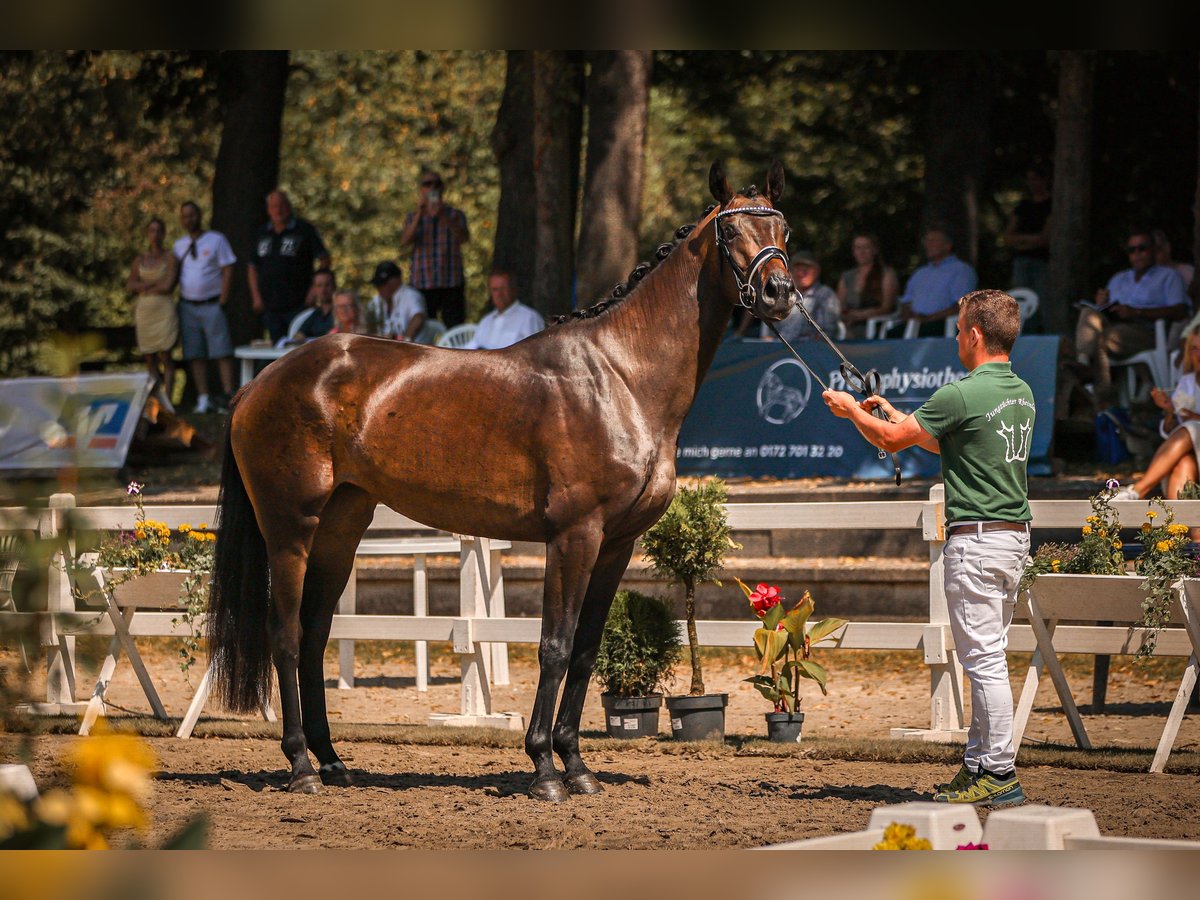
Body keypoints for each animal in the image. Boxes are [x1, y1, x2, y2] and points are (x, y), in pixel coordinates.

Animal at [208, 158, 796, 801]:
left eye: (783, 230)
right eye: (731, 232)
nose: (780, 293)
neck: (620, 375)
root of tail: (258, 382)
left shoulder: (616, 543)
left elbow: (586, 650)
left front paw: (577, 766)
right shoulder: (574, 535)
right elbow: (555, 647)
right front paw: (544, 768)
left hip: (340, 531)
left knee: (314, 637)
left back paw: (333, 762)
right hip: (290, 529)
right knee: (286, 636)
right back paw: (301, 767)